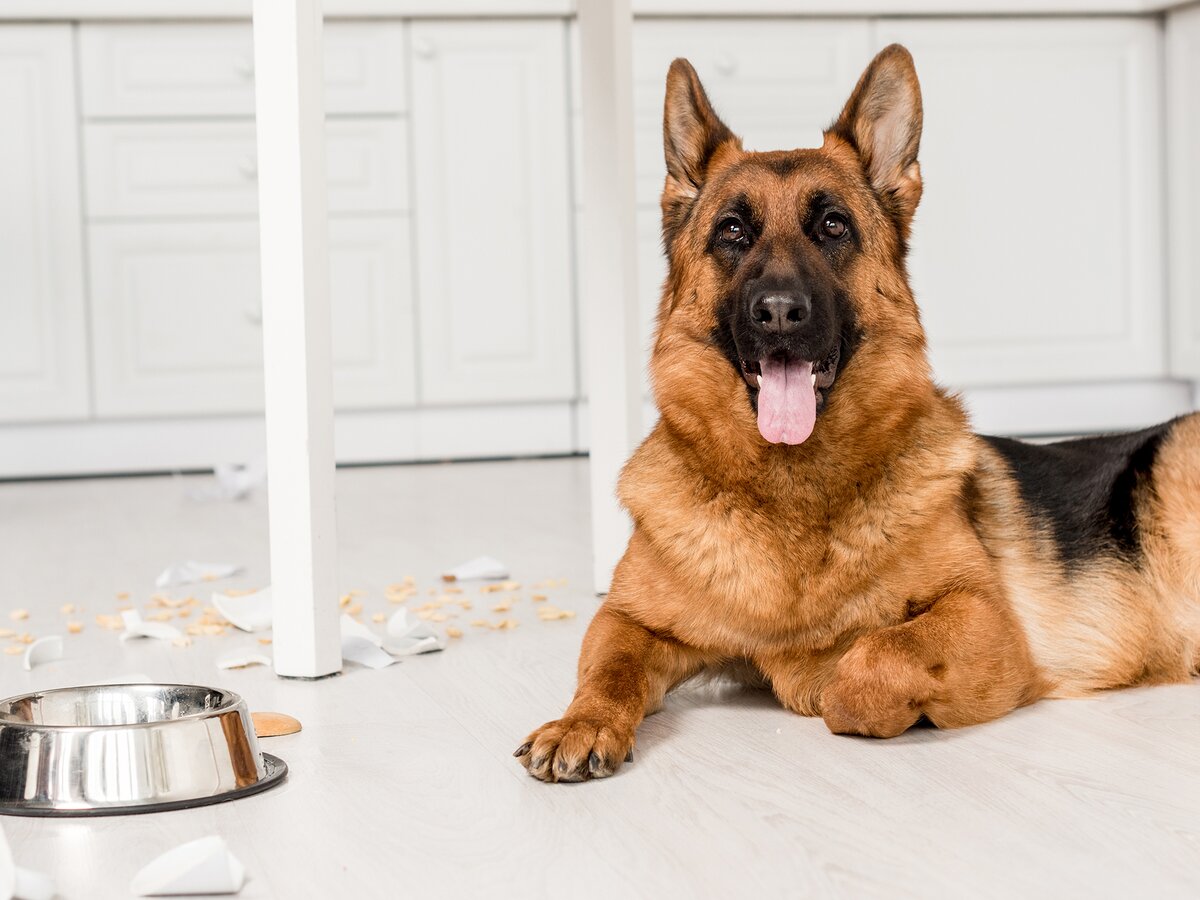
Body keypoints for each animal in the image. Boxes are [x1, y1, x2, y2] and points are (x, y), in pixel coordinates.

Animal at [516, 45, 1200, 782]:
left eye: (832, 226)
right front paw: (582, 721)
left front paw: (836, 680)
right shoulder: (627, 618)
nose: (779, 312)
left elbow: (868, 661)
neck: (788, 494)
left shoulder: (984, 618)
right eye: (733, 231)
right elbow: (607, 668)